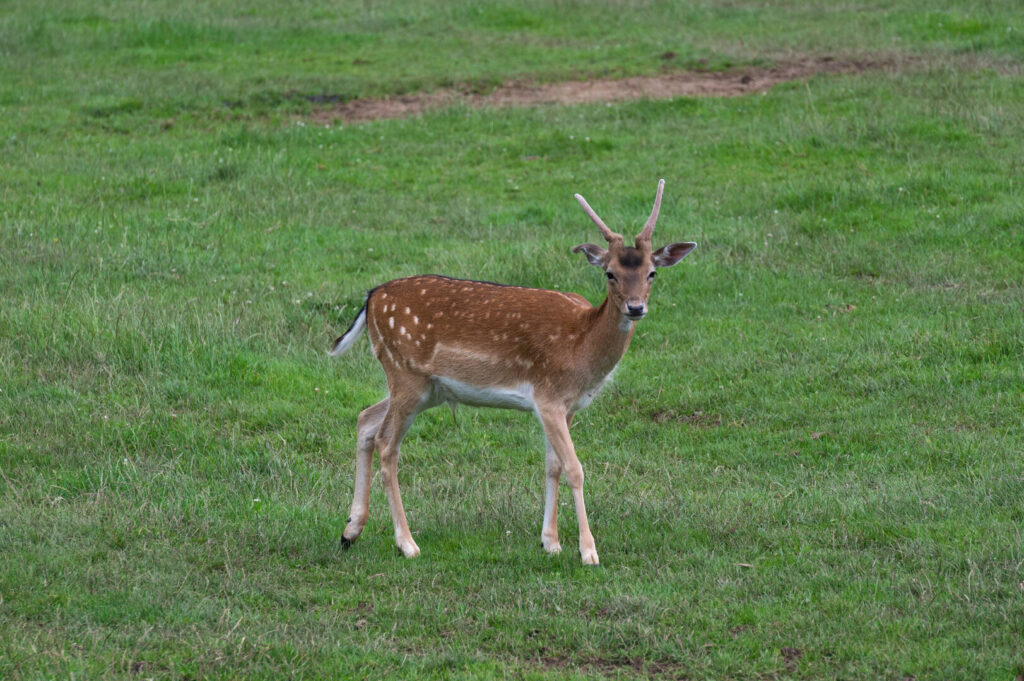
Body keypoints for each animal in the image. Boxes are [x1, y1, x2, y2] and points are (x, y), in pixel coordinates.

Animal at [327, 179, 696, 561]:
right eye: (610, 273)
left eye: (652, 272)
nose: (636, 308)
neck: (583, 347)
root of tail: (371, 298)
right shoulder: (548, 397)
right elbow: (575, 469)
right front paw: (588, 552)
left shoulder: (567, 407)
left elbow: (553, 465)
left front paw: (551, 542)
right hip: (405, 373)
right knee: (387, 443)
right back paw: (407, 543)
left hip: (426, 388)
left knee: (365, 420)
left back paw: (350, 531)